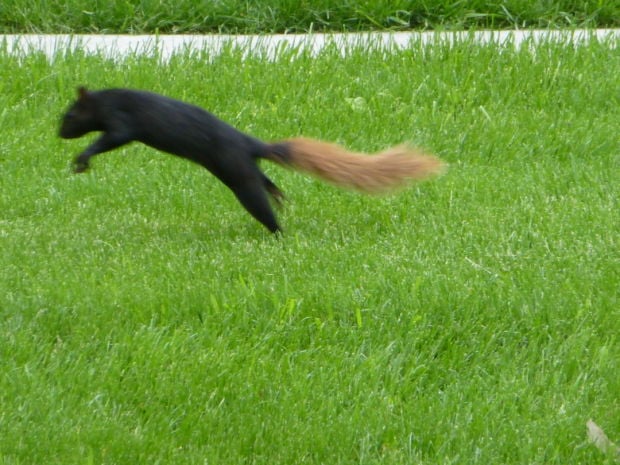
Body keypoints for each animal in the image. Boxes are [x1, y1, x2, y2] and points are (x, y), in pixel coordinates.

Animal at [59, 86, 446, 232]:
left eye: (70, 115)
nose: (58, 132)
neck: (105, 99)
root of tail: (251, 144)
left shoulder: (123, 121)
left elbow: (113, 138)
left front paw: (82, 158)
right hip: (237, 170)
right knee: (266, 181)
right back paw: (279, 196)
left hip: (237, 175)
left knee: (261, 204)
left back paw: (279, 231)